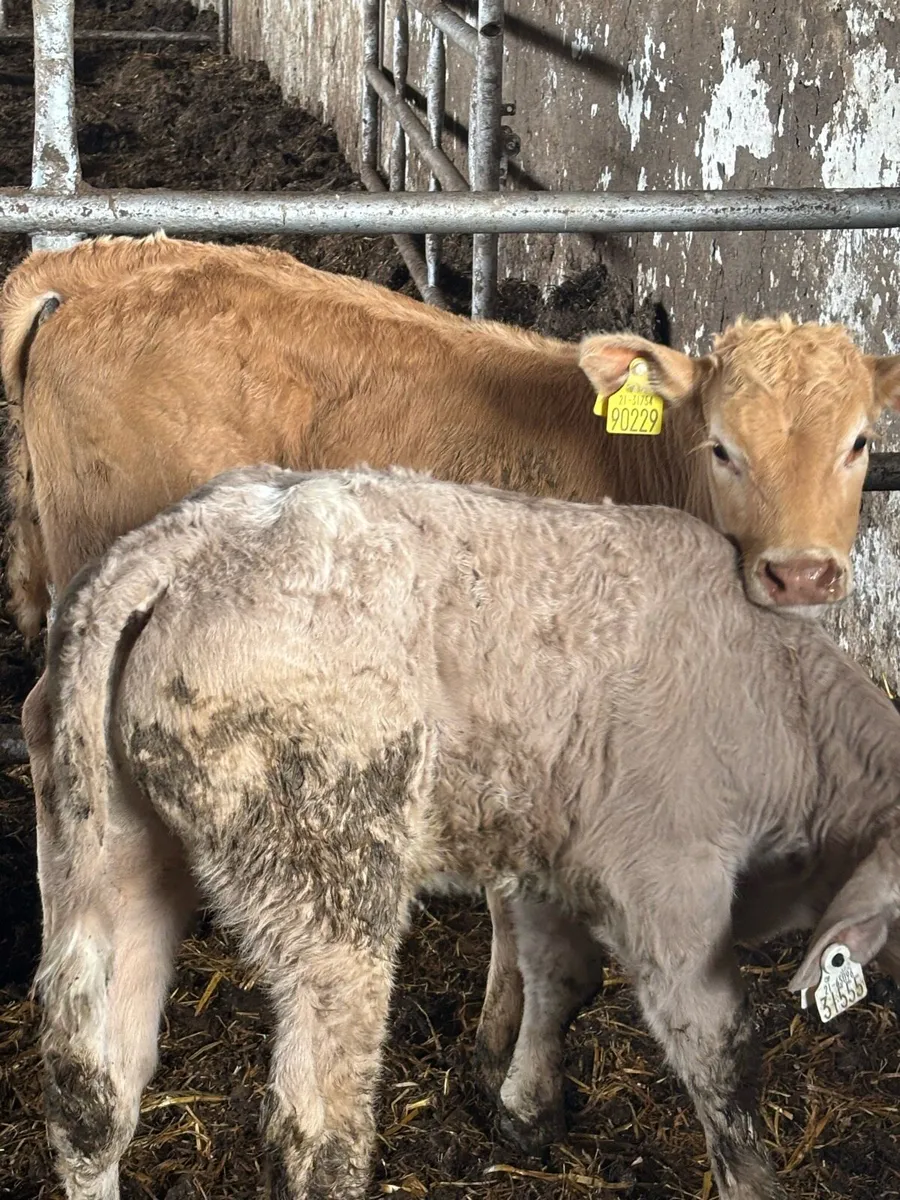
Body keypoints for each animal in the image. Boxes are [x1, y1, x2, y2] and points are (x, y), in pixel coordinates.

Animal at [4, 233, 900, 1116]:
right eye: (722, 446)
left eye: (858, 442)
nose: (801, 574)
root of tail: (98, 265)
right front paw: (508, 1058)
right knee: (51, 726)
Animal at [38, 466, 900, 1200]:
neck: (788, 707)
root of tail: (185, 541)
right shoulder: (672, 882)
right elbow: (719, 1051)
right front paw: (752, 1180)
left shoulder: (550, 850)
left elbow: (560, 979)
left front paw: (524, 1108)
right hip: (331, 873)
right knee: (316, 1131)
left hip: (106, 851)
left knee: (95, 1095)